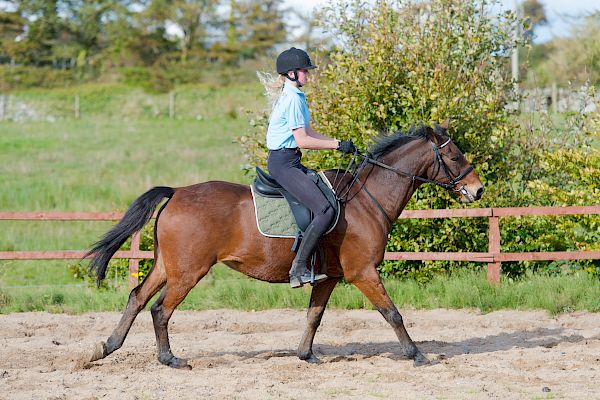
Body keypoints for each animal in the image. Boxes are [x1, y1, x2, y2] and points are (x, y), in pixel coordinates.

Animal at [86, 121, 486, 368]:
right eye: (454, 157)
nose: (478, 190)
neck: (366, 200)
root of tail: (177, 192)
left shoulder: (328, 276)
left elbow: (314, 316)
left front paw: (305, 355)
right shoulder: (363, 273)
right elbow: (393, 313)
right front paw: (416, 354)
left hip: (167, 265)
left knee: (137, 297)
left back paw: (106, 347)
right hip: (188, 270)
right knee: (159, 309)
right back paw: (169, 359)